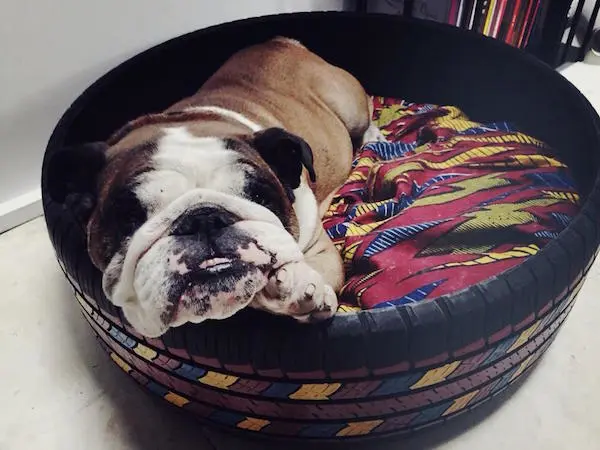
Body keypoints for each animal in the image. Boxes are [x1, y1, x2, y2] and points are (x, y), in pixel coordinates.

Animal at [47, 37, 384, 337]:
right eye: (131, 218)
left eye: (259, 196)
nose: (204, 218)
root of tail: (282, 41)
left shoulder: (319, 247)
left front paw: (300, 286)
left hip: (349, 107)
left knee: (366, 111)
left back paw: (374, 139)